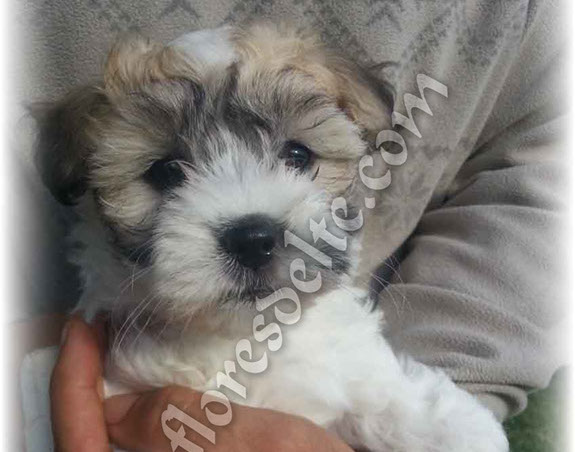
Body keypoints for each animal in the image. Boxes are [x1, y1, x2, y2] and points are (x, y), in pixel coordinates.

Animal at [35, 23, 508, 452]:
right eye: (166, 172)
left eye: (297, 154)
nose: (252, 238)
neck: (244, 338)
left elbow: (383, 395)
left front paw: (462, 430)